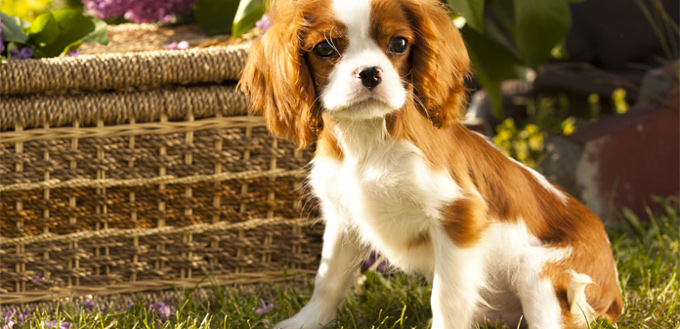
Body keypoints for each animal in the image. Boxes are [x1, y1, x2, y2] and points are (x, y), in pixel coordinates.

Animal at [238, 0, 620, 326]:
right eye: (324, 49)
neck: (367, 137)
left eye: (398, 44)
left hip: (537, 268)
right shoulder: (343, 219)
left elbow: (446, 298)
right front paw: (305, 322)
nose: (371, 73)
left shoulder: (458, 216)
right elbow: (327, 279)